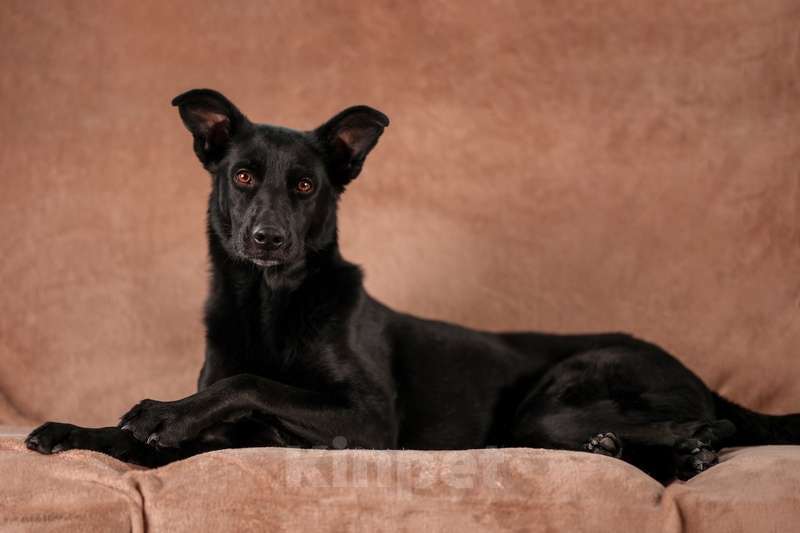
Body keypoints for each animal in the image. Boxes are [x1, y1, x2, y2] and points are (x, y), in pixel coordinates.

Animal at [25, 90, 800, 482]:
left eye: (304, 186)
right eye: (242, 176)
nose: (268, 239)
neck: (274, 304)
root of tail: (695, 373)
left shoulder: (368, 419)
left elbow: (248, 385)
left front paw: (163, 411)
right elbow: (143, 431)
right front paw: (76, 431)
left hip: (559, 398)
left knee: (709, 426)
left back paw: (684, 452)